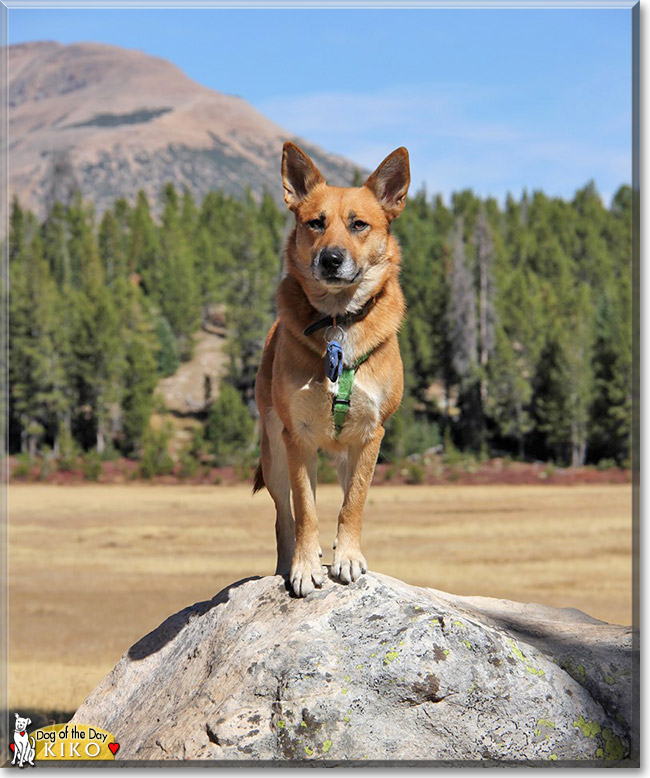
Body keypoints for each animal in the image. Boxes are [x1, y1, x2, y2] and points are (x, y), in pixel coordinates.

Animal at [252, 142, 408, 596]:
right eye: (315, 223)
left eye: (359, 224)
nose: (331, 259)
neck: (338, 320)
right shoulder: (297, 437)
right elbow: (304, 511)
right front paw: (304, 567)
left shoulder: (370, 435)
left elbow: (352, 505)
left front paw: (349, 558)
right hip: (274, 454)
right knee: (283, 517)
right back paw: (286, 563)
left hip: (342, 457)